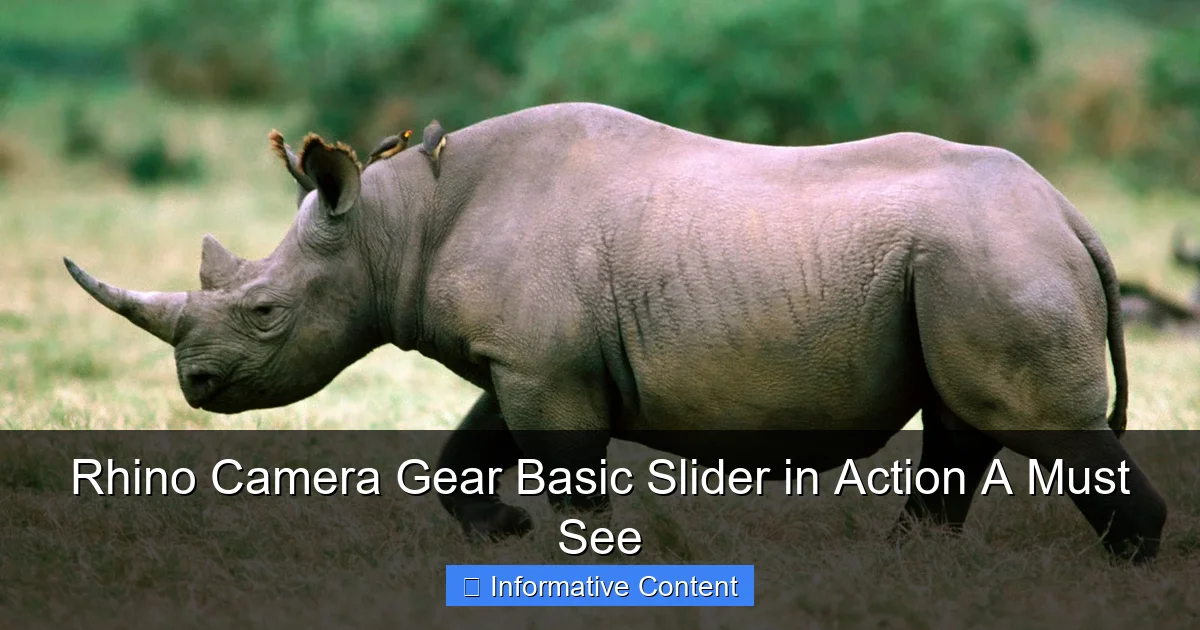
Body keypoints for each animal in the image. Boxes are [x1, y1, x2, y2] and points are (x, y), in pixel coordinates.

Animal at [64, 102, 1167, 563]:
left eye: (263, 313)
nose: (196, 390)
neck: (394, 226)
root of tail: (1071, 213)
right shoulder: (527, 360)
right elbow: (465, 455)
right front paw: (505, 532)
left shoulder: (544, 368)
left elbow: (569, 476)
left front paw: (586, 556)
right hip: (969, 261)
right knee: (964, 423)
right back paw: (907, 563)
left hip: (993, 258)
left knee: (1042, 431)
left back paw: (1126, 568)